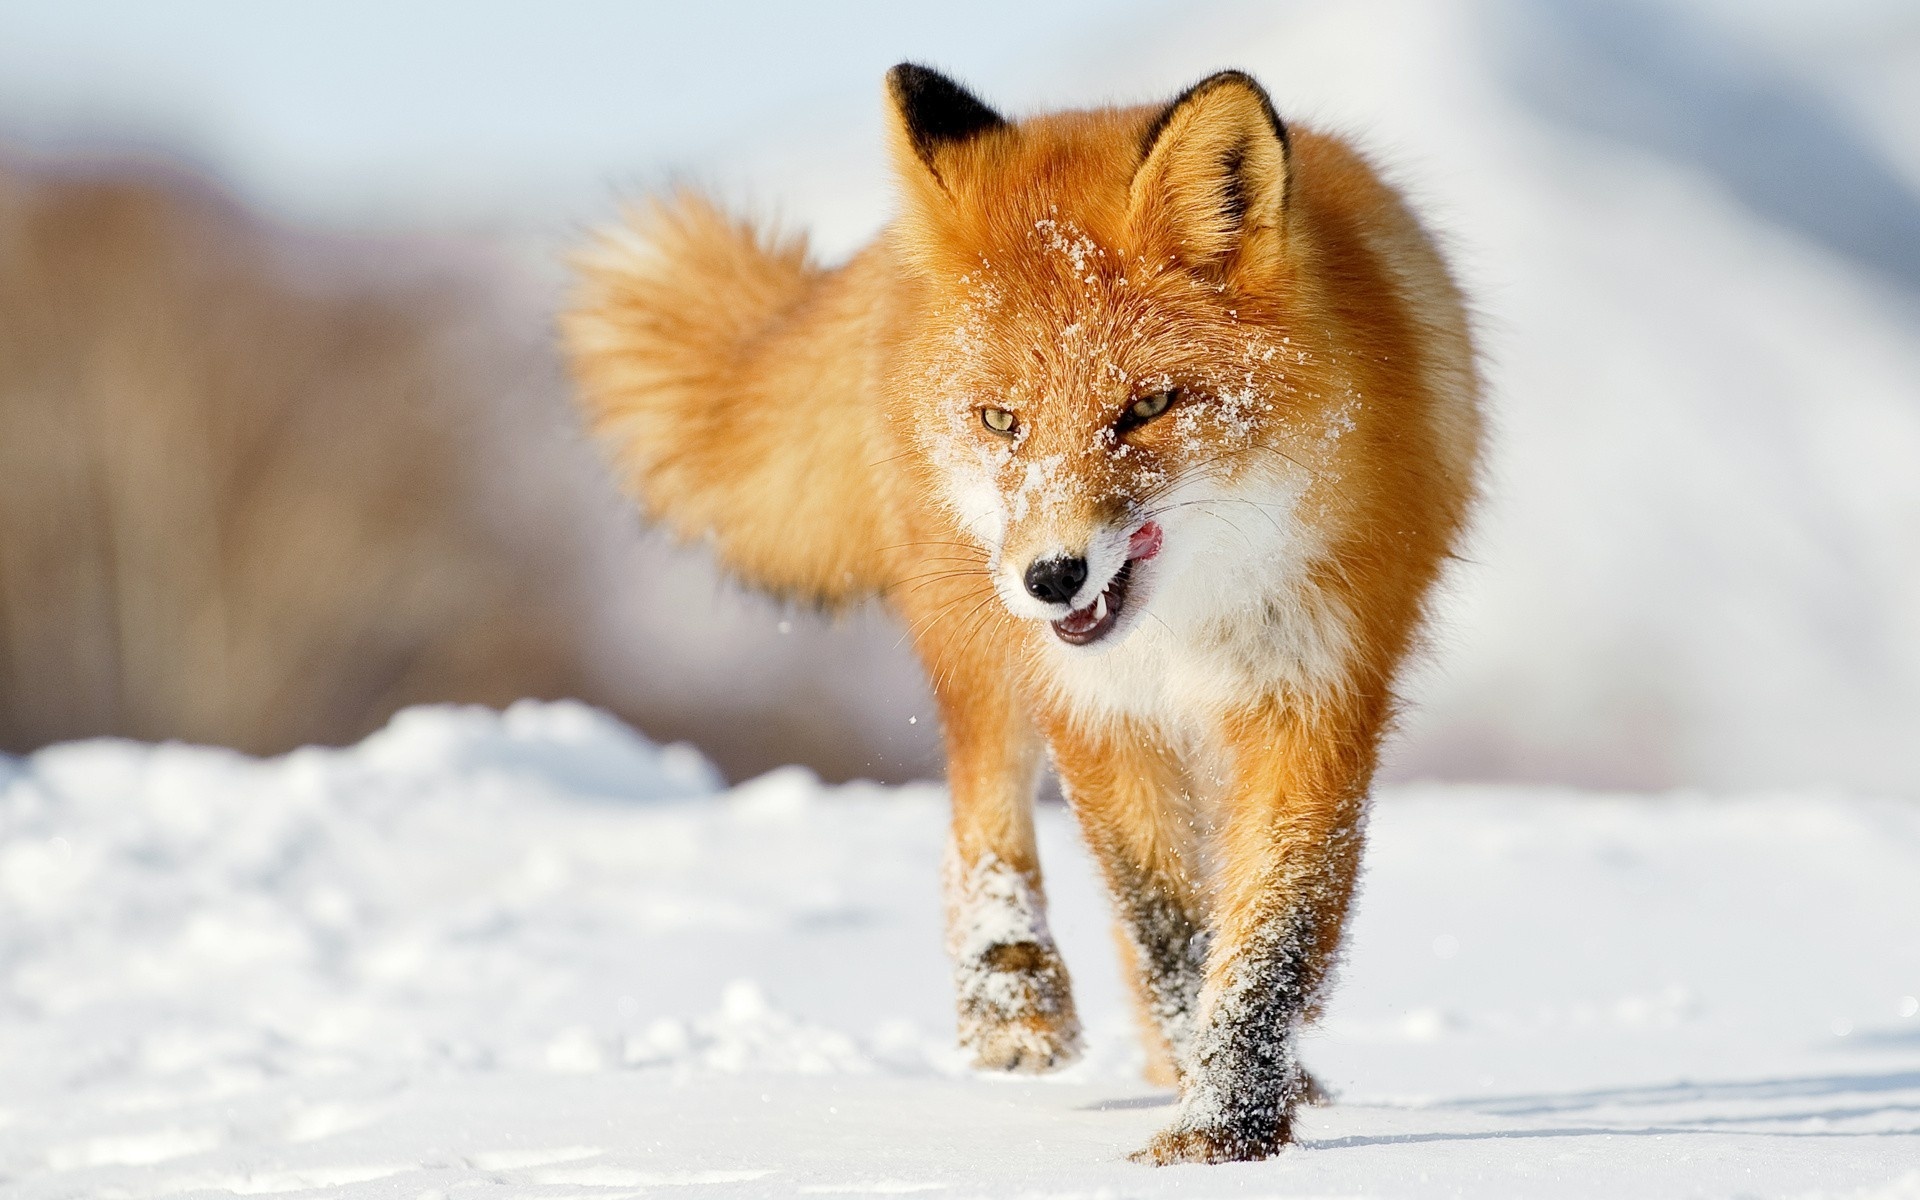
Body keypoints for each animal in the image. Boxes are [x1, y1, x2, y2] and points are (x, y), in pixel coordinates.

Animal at [560, 63, 1482, 1159]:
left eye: (1146, 407)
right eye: (1003, 419)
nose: (1053, 577)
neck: (1188, 625)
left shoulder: (1315, 694)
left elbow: (1267, 938)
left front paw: (1226, 1123)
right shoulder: (1098, 708)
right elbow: (1167, 926)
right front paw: (1215, 1110)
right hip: (978, 640)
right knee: (981, 808)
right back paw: (1013, 998)